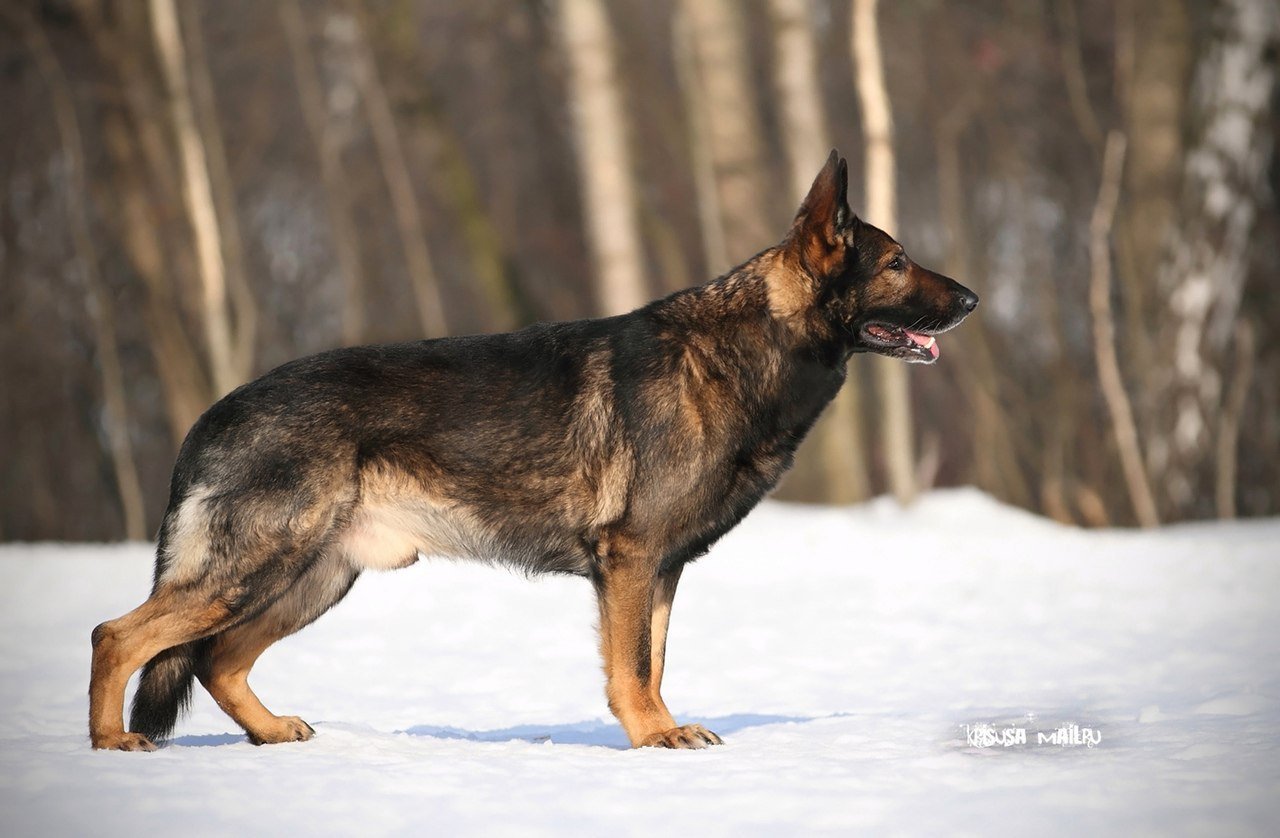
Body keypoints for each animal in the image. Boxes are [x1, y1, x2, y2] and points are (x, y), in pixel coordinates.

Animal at [87, 152, 967, 752]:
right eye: (896, 263)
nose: (972, 297)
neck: (743, 350)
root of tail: (216, 412)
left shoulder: (662, 570)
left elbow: (653, 661)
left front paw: (661, 729)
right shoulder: (632, 561)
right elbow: (632, 665)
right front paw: (653, 737)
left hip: (314, 579)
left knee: (215, 662)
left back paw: (267, 731)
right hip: (257, 569)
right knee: (119, 636)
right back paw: (110, 743)